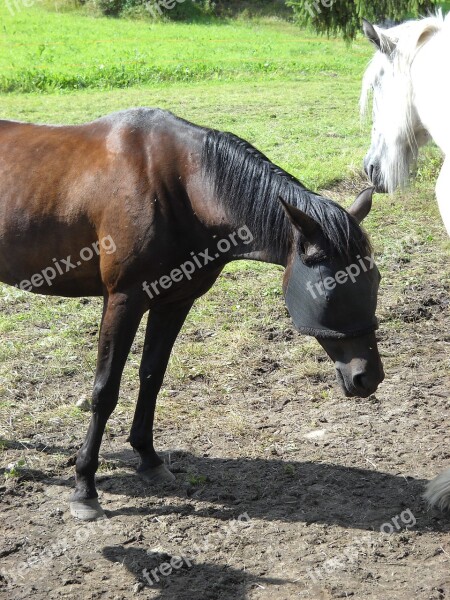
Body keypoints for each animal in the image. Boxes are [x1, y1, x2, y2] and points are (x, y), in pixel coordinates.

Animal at [0, 109, 384, 520]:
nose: (368, 378)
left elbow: (152, 376)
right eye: (330, 286)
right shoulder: (123, 301)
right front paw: (85, 486)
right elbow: (105, 392)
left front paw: (149, 459)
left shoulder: (174, 302)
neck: (176, 186)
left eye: (375, 278)